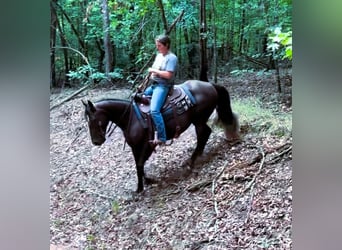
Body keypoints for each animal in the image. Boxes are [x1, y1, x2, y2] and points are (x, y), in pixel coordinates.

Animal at [82, 79, 239, 192]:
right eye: (87, 120)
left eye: (94, 119)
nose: (96, 141)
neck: (131, 118)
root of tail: (210, 84)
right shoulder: (135, 147)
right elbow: (138, 164)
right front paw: (146, 181)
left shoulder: (147, 145)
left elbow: (140, 163)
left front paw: (140, 188)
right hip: (198, 120)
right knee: (205, 135)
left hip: (199, 120)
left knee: (204, 134)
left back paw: (192, 161)